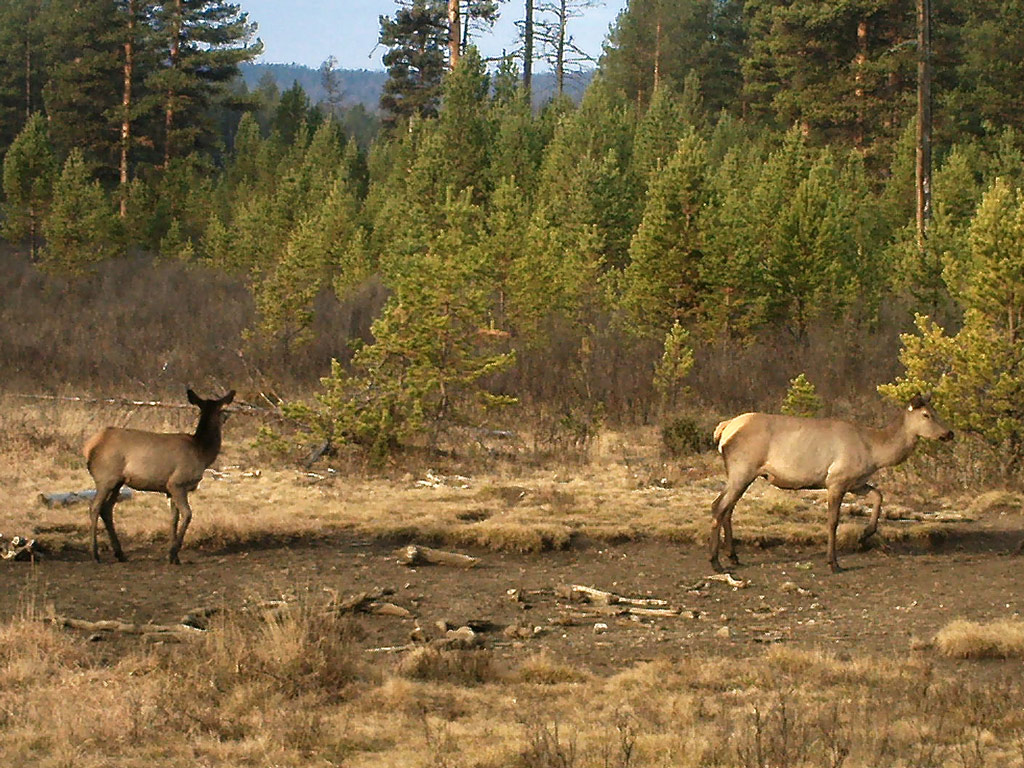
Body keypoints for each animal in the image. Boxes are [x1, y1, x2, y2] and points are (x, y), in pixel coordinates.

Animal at [83, 391, 234, 565]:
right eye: (222, 410)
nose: (227, 417)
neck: (202, 453)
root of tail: (89, 447)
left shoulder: (170, 489)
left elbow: (174, 519)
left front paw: (173, 556)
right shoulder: (177, 483)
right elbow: (187, 514)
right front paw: (174, 552)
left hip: (118, 482)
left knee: (107, 509)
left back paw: (120, 553)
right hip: (106, 477)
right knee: (94, 507)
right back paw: (95, 554)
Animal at [708, 397, 954, 573]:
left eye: (936, 412)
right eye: (926, 415)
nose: (949, 433)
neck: (875, 452)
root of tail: (724, 428)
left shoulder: (856, 482)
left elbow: (878, 495)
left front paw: (864, 535)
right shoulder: (836, 480)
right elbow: (833, 521)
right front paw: (833, 562)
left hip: (740, 474)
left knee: (727, 508)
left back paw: (733, 556)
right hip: (743, 469)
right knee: (718, 506)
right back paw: (715, 561)